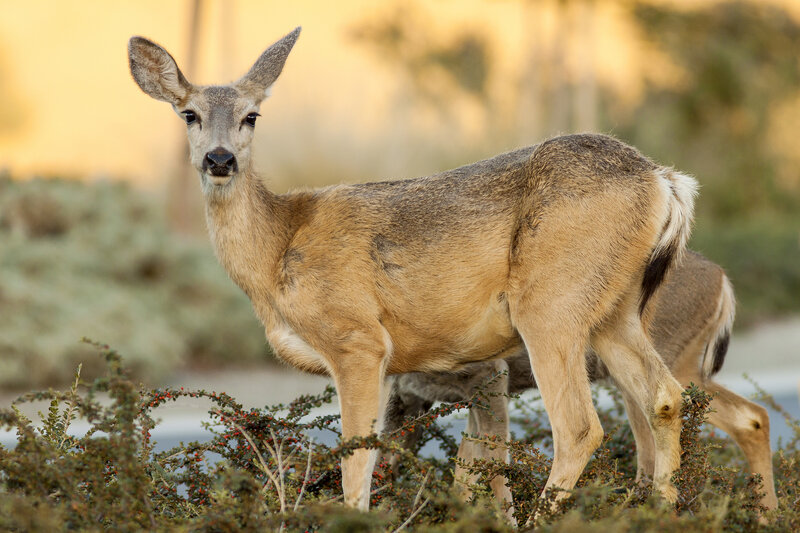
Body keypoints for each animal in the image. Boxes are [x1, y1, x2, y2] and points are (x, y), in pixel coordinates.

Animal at [128, 27, 698, 510]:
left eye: (252, 115)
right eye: (189, 114)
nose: (220, 160)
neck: (277, 252)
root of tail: (664, 180)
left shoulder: (357, 338)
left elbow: (356, 461)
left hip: (550, 302)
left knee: (580, 427)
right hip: (615, 309)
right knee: (665, 397)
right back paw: (659, 508)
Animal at [385, 250, 778, 518]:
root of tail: (722, 280)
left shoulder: (489, 375)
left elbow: (488, 468)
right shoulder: (411, 401)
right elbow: (447, 472)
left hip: (667, 362)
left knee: (664, 445)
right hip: (681, 367)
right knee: (751, 417)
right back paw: (767, 516)